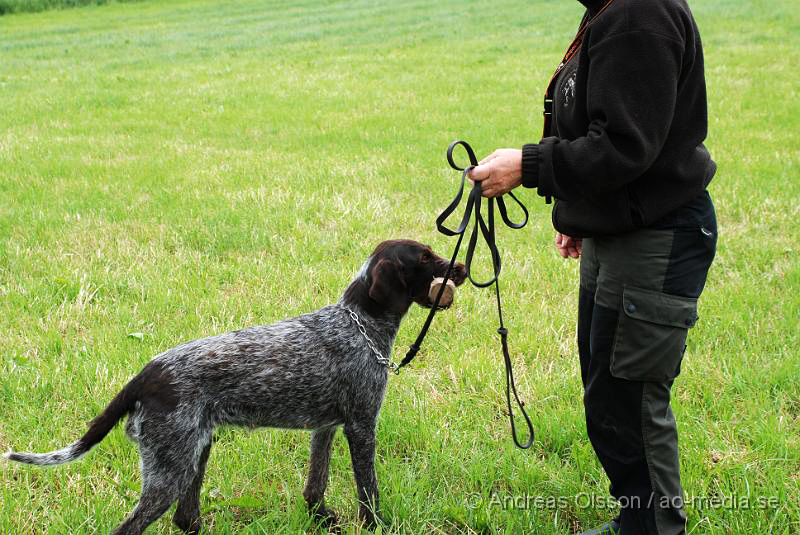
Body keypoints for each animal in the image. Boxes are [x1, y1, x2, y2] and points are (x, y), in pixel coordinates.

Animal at [3, 241, 466, 535]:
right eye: (425, 257)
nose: (461, 269)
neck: (360, 323)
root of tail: (145, 374)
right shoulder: (361, 426)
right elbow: (367, 490)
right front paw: (375, 527)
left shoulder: (326, 427)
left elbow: (315, 484)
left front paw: (321, 520)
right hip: (169, 472)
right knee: (135, 527)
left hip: (193, 453)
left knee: (185, 519)